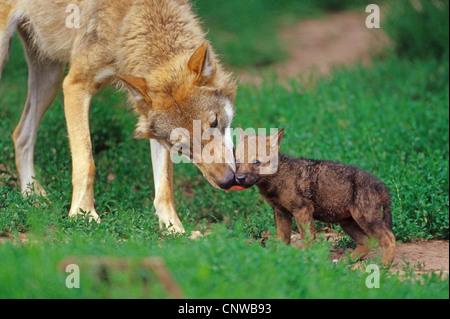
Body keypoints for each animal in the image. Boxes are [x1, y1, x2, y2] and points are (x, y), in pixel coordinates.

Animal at [0, 0, 237, 235]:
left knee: (20, 134)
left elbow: (164, 185)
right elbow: (86, 161)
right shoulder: (75, 85)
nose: (227, 181)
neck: (129, 17)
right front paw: (82, 214)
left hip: (50, 77)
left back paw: (32, 196)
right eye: (182, 147)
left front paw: (174, 229)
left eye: (214, 123)